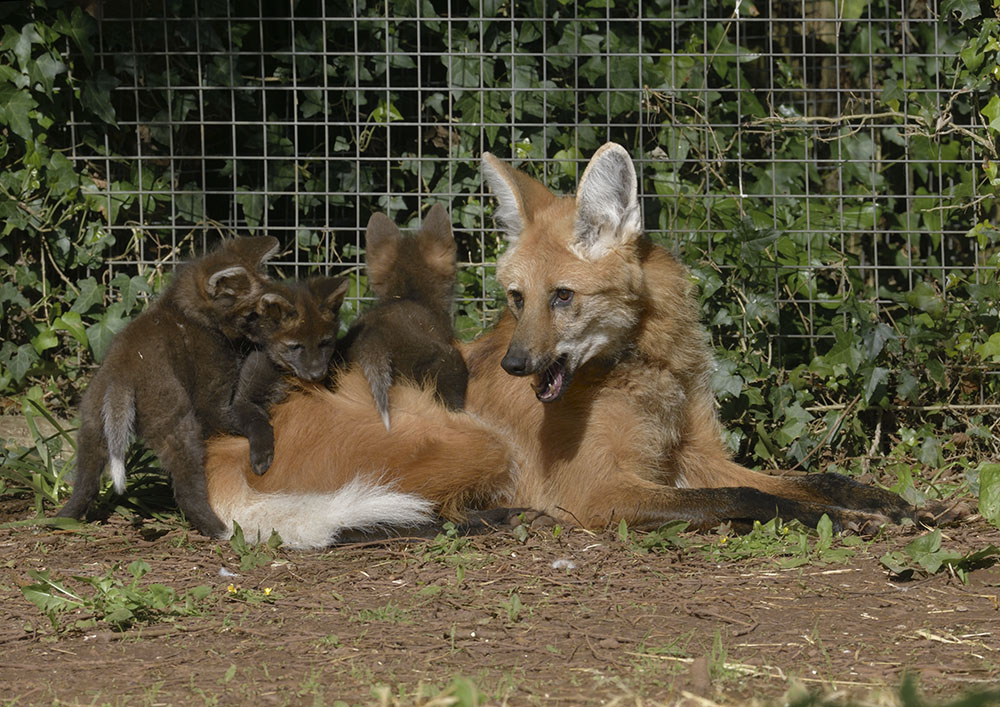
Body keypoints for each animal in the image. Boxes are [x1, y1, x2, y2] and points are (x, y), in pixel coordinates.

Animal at [57, 236, 279, 538]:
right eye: (251, 314)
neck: (191, 313)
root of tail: (121, 378)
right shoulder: (211, 399)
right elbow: (245, 418)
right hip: (180, 426)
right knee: (187, 489)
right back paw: (220, 529)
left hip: (92, 429)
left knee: (84, 485)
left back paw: (60, 519)